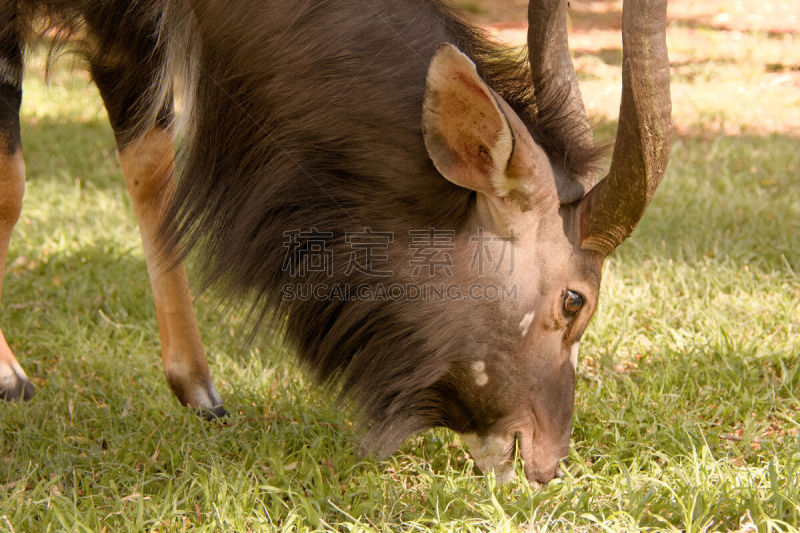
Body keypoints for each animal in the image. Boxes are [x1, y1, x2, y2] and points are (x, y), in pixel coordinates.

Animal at [1, 0, 668, 484]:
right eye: (574, 300)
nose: (546, 463)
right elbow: (11, 181)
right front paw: (8, 378)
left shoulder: (129, 29)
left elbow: (149, 160)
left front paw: (197, 387)